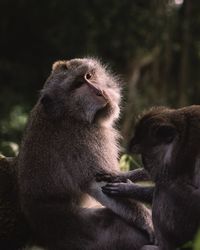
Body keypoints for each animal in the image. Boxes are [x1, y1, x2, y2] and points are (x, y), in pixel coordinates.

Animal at [18, 58, 153, 250]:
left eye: (89, 76)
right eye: (78, 85)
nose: (100, 91)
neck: (71, 114)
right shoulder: (87, 138)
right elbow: (97, 185)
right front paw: (148, 220)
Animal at [101, 106, 200, 250]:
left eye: (146, 155)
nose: (146, 164)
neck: (183, 141)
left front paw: (127, 188)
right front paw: (122, 175)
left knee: (165, 189)